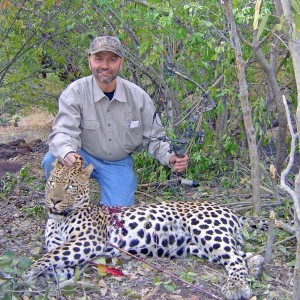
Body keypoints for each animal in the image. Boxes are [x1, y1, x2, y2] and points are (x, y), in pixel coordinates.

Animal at [22, 155, 264, 300]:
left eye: (70, 186)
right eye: (52, 182)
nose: (54, 201)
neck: (59, 219)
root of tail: (231, 211)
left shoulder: (88, 240)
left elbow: (48, 257)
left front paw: (25, 274)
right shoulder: (65, 249)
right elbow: (56, 261)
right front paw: (46, 279)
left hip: (205, 229)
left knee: (235, 258)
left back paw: (237, 286)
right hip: (199, 246)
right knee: (242, 254)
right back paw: (256, 266)